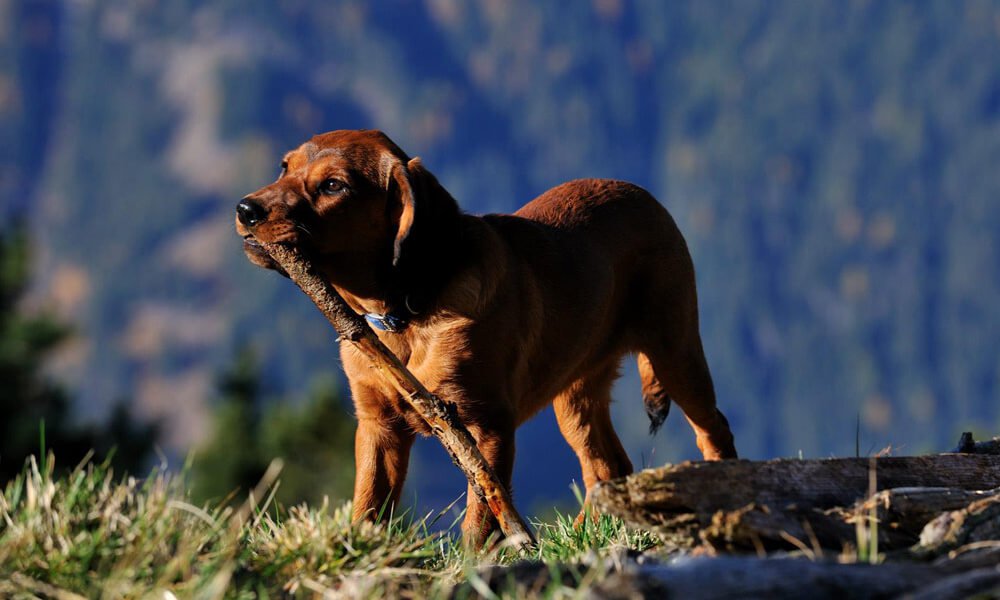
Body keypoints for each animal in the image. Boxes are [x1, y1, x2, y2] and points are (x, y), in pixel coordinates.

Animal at [234, 130, 736, 544]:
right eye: (283, 167)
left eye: (334, 187)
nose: (245, 210)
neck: (405, 315)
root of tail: (644, 195)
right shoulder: (377, 426)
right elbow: (369, 506)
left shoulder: (485, 425)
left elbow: (480, 517)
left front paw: (476, 568)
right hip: (575, 391)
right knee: (607, 467)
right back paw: (579, 539)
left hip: (675, 348)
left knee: (712, 428)